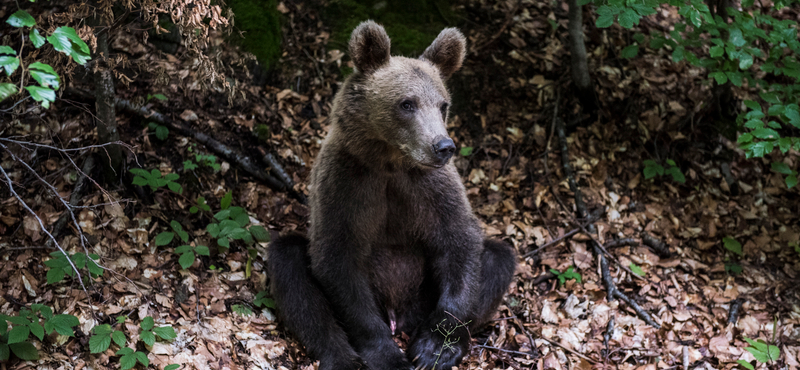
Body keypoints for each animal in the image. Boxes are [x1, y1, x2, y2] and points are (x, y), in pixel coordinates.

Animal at [268, 21, 520, 370]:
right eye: (407, 103)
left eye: (443, 104)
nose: (443, 146)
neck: (390, 162)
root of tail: (398, 316)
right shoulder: (346, 184)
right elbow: (337, 258)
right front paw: (386, 355)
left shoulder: (431, 188)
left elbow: (459, 242)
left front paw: (434, 349)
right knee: (291, 265)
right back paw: (342, 357)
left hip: (423, 296)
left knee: (497, 258)